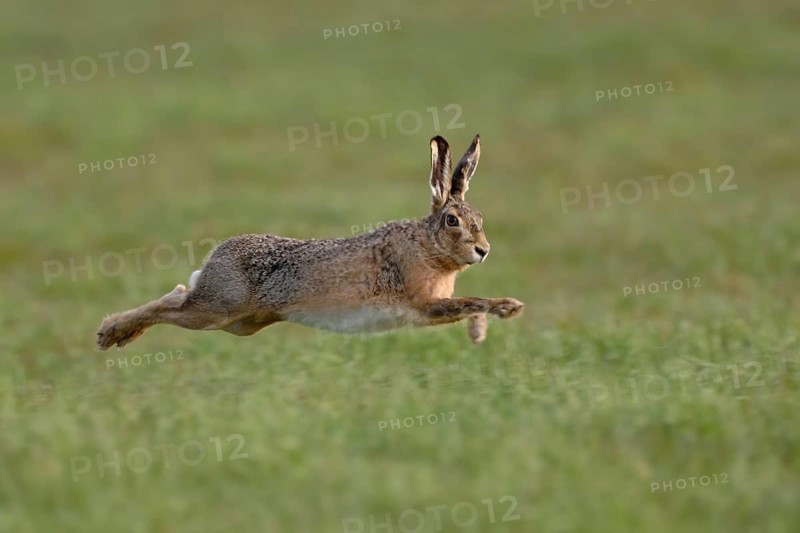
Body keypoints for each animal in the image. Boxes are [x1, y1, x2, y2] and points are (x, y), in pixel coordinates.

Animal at [96, 134, 524, 351]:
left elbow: (468, 306)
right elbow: (473, 300)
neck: (426, 245)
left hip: (241, 323)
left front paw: (479, 333)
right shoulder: (423, 303)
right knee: (172, 306)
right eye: (453, 221)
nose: (483, 251)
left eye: (480, 219)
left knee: (179, 295)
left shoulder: (429, 308)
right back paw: (110, 334)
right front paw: (508, 307)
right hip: (217, 309)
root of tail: (216, 256)